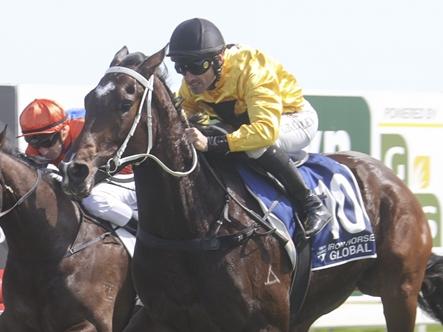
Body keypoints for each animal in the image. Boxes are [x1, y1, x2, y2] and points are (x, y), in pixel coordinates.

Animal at [60, 47, 443, 332]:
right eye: (89, 100)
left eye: (124, 104)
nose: (75, 170)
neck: (195, 224)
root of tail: (393, 182)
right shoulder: (160, 316)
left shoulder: (263, 322)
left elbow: (261, 130)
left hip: (399, 289)